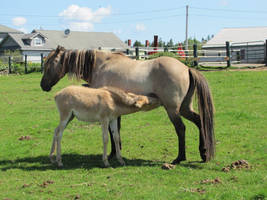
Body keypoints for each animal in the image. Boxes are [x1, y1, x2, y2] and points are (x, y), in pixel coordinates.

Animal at [40, 45, 216, 164]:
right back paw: (204, 153)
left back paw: (179, 158)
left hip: (173, 109)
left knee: (181, 128)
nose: (43, 85)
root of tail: (186, 68)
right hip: (184, 108)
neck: (100, 65)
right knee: (199, 121)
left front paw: (112, 154)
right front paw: (116, 152)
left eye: (50, 63)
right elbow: (115, 132)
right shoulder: (113, 111)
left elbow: (112, 132)